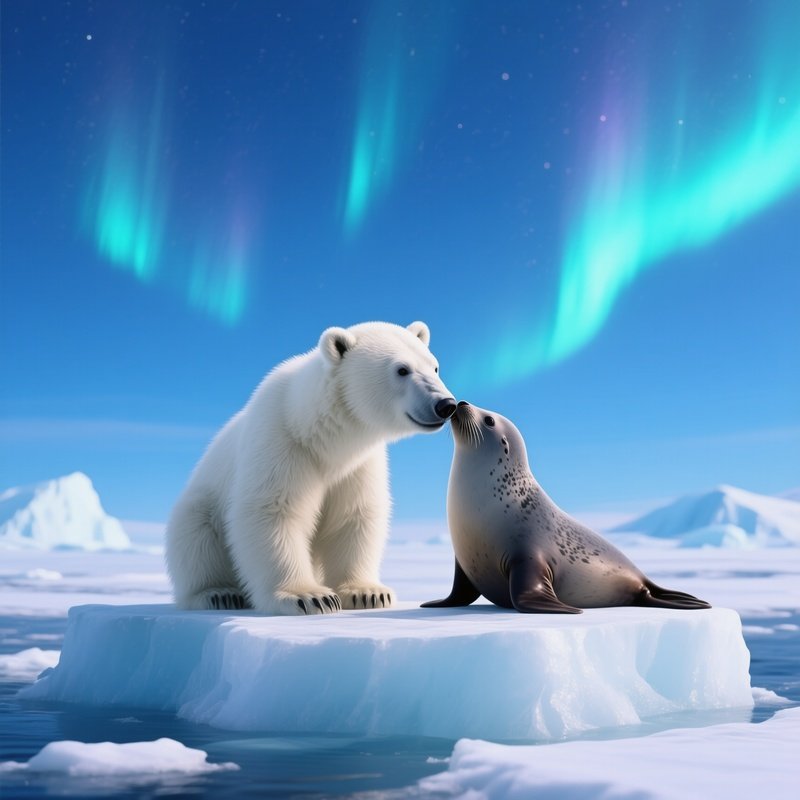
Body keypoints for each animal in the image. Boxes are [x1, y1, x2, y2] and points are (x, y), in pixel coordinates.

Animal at [165, 321, 456, 615]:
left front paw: (368, 593)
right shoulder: (282, 444)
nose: (446, 405)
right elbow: (273, 511)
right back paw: (219, 593)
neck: (316, 432)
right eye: (401, 369)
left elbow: (354, 515)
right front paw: (310, 596)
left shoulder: (359, 464)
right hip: (200, 509)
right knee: (196, 541)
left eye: (434, 366)